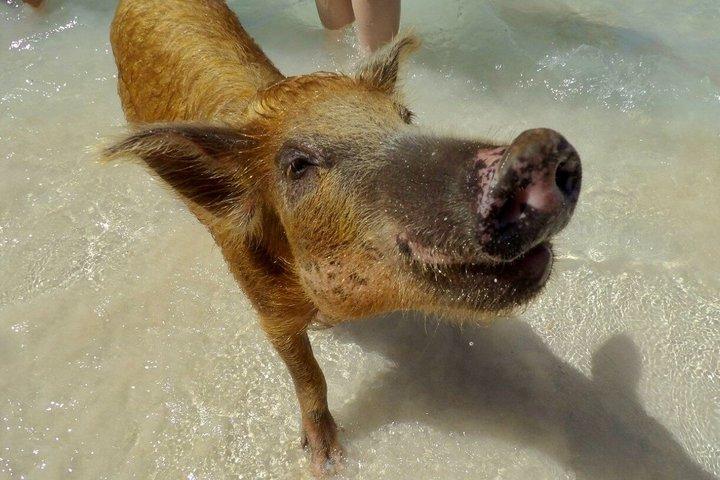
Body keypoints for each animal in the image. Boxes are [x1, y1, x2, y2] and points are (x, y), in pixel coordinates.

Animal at [104, 0, 581, 475]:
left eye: (406, 119)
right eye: (298, 165)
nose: (537, 145)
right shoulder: (267, 310)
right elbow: (308, 374)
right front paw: (329, 462)